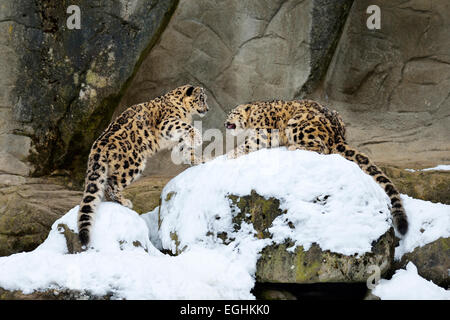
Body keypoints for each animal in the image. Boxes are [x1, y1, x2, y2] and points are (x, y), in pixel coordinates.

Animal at [78, 84, 209, 246]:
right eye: (201, 98)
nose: (207, 108)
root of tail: (98, 145)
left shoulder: (177, 141)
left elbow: (186, 150)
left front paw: (198, 159)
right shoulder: (167, 122)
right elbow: (183, 125)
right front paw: (197, 137)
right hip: (133, 162)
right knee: (111, 183)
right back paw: (124, 202)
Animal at [224, 99, 408, 235]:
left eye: (232, 113)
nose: (225, 122)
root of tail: (338, 135)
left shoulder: (263, 133)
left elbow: (248, 144)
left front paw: (228, 155)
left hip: (298, 123)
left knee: (321, 148)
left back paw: (293, 146)